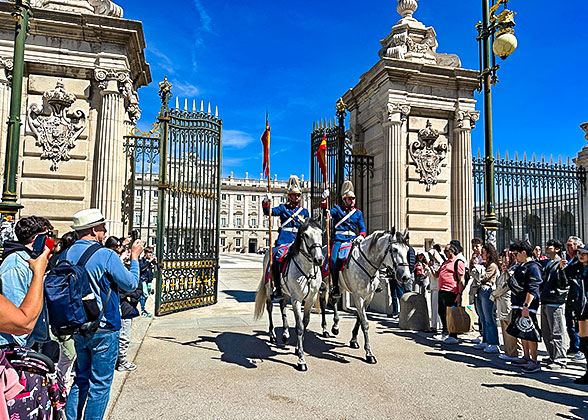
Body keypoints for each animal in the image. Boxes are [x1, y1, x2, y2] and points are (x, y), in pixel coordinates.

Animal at [254, 218, 324, 372]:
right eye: (305, 235)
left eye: (321, 233)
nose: (319, 259)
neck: (307, 271)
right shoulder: (297, 300)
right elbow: (299, 327)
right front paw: (301, 360)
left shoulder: (310, 300)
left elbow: (304, 324)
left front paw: (298, 348)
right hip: (269, 289)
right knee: (270, 308)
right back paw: (272, 334)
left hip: (285, 293)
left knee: (282, 307)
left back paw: (285, 334)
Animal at [320, 228, 412, 362]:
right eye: (394, 249)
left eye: (407, 250)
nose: (405, 277)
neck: (367, 263)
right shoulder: (358, 296)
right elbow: (365, 323)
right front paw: (369, 353)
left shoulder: (368, 297)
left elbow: (360, 319)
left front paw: (353, 340)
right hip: (324, 284)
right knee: (322, 303)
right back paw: (325, 329)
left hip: (339, 287)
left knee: (334, 300)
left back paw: (335, 327)